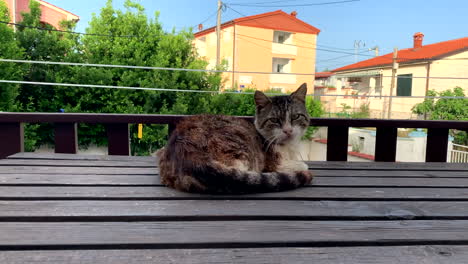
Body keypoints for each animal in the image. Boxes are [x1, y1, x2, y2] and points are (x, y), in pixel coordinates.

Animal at [157, 83, 314, 194]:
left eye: (295, 116)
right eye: (274, 120)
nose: (288, 130)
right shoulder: (272, 163)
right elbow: (301, 164)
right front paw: (300, 165)